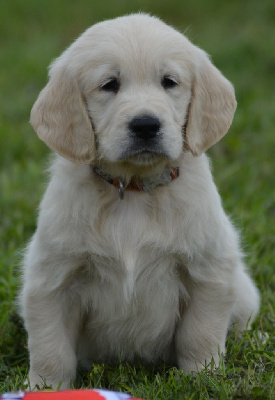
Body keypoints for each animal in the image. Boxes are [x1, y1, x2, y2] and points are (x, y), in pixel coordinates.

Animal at [20, 14, 260, 390]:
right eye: (109, 84)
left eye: (169, 82)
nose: (146, 124)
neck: (132, 189)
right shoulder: (52, 278)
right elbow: (50, 346)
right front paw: (45, 388)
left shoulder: (208, 269)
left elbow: (200, 333)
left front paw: (202, 379)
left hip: (244, 290)